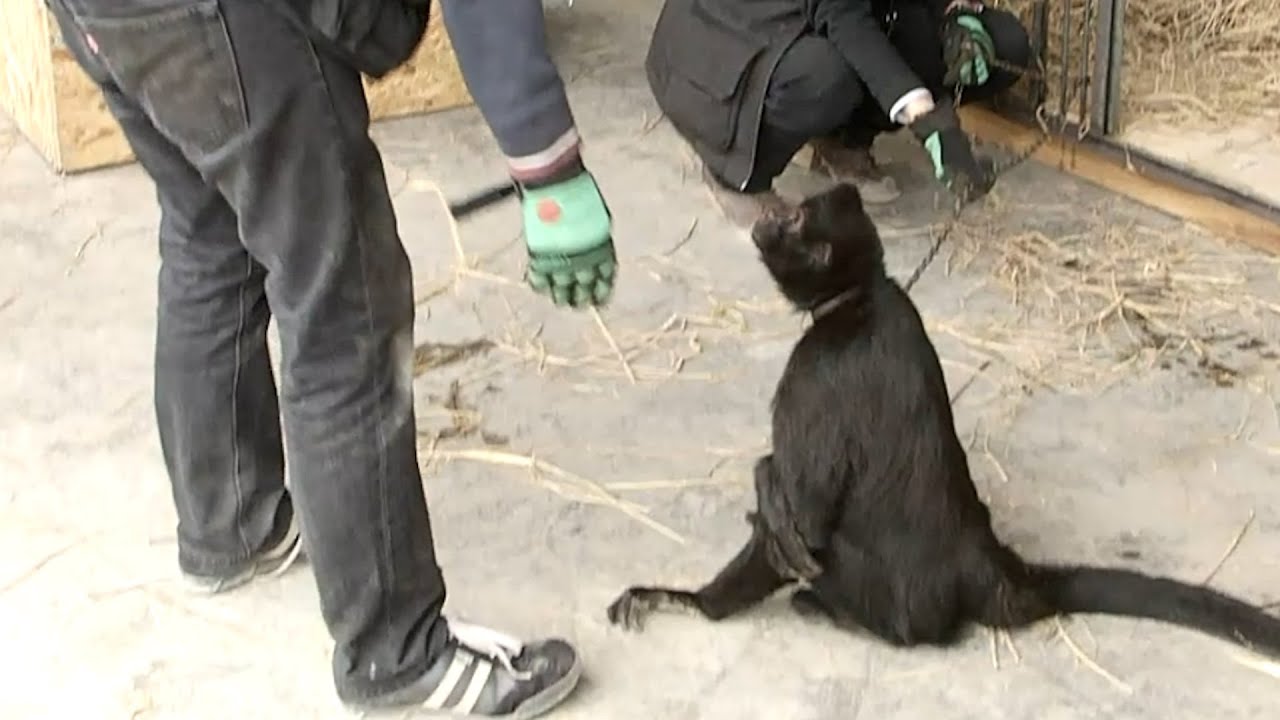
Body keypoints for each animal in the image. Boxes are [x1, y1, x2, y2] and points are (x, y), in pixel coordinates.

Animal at [605, 181, 1280, 661]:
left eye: (796, 219)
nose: (769, 216)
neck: (857, 301)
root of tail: (983, 563)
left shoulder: (816, 373)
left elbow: (804, 513)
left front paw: (696, 600)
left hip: (868, 585)